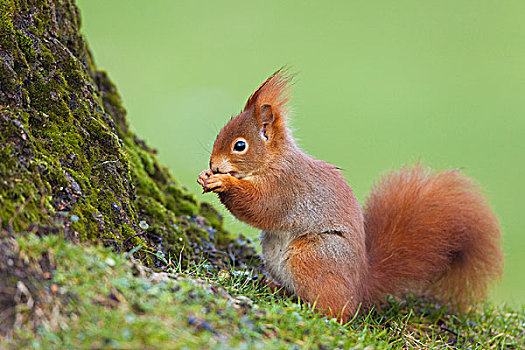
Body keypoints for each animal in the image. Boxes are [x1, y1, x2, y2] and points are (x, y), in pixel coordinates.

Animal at [196, 69, 504, 322]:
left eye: (240, 146)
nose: (214, 164)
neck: (274, 161)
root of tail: (361, 288)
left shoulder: (285, 187)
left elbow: (260, 207)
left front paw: (223, 182)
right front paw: (205, 176)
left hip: (313, 257)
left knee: (337, 311)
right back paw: (276, 288)